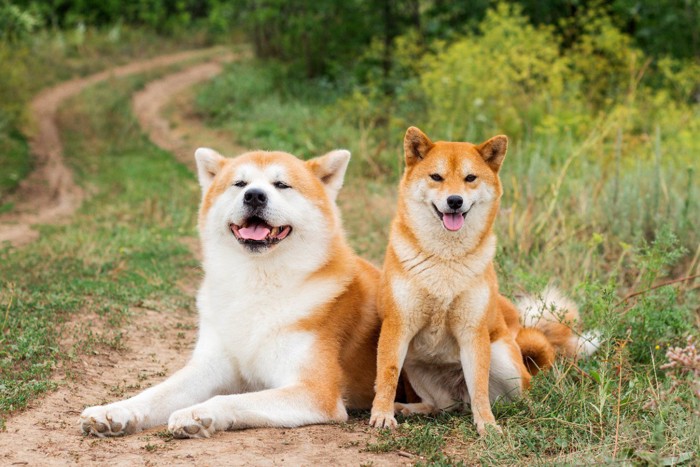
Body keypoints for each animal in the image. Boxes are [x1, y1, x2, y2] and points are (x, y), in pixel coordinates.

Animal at [79, 148, 380, 436]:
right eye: (240, 183)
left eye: (281, 184)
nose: (255, 196)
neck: (256, 284)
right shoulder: (209, 366)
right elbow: (155, 393)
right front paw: (116, 410)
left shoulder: (316, 391)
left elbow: (230, 399)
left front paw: (198, 413)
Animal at [370, 127, 600, 436]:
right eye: (436, 177)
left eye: (470, 178)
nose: (455, 200)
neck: (445, 261)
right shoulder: (398, 326)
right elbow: (387, 376)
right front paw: (382, 414)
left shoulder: (473, 332)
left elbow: (478, 386)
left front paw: (487, 425)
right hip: (416, 366)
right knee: (440, 406)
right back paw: (408, 408)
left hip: (502, 358)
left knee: (512, 395)